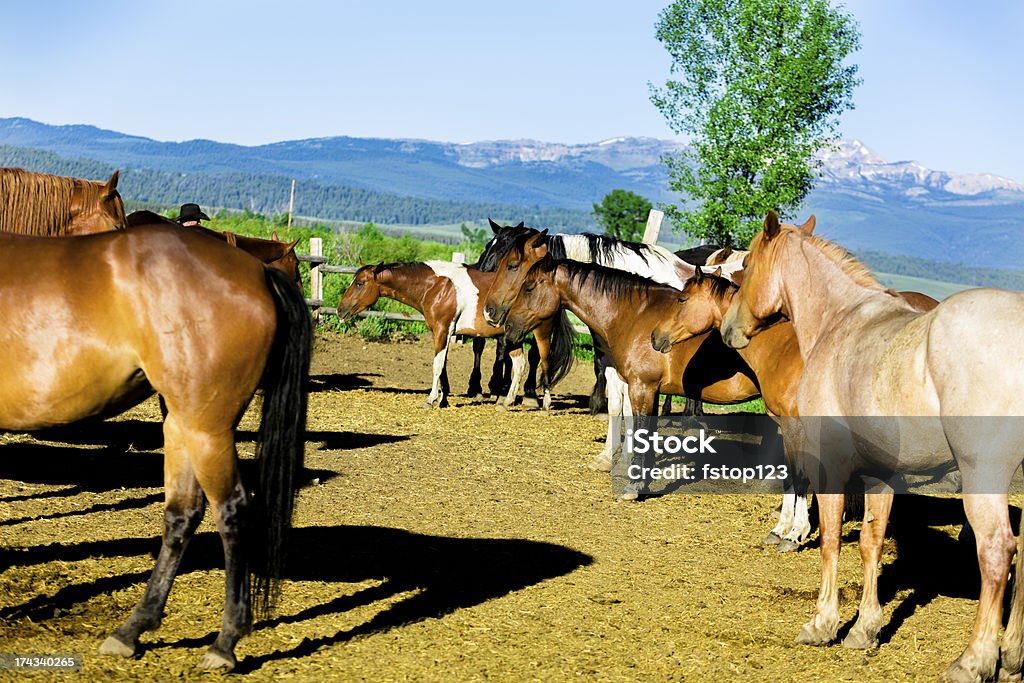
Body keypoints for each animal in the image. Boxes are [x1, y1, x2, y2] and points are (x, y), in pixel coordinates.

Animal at [0, 225, 311, 671]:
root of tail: (255, 272)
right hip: (180, 424)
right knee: (182, 514)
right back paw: (131, 630)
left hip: (207, 429)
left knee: (231, 510)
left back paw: (224, 643)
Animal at [335, 262, 577, 411]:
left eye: (359, 283)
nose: (340, 310)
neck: (437, 285)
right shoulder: (444, 333)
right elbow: (442, 366)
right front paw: (443, 399)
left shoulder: (442, 331)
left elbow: (437, 365)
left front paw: (431, 400)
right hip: (513, 337)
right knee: (519, 364)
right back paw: (506, 401)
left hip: (541, 334)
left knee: (545, 363)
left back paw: (544, 404)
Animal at [499, 253, 757, 499]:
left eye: (529, 287)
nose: (507, 326)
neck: (635, 316)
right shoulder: (642, 387)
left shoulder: (642, 387)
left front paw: (632, 485)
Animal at [651, 266, 937, 548]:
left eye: (682, 299)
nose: (655, 336)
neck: (782, 349)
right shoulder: (785, 427)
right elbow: (789, 475)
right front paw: (779, 530)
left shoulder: (796, 427)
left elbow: (801, 476)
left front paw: (795, 533)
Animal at [716, 210, 1024, 679]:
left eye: (746, 265)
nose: (727, 329)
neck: (839, 322)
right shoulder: (880, 473)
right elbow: (870, 543)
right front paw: (865, 628)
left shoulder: (831, 464)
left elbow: (829, 539)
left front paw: (823, 622)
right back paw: (1013, 657)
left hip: (982, 475)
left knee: (997, 552)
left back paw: (975, 660)